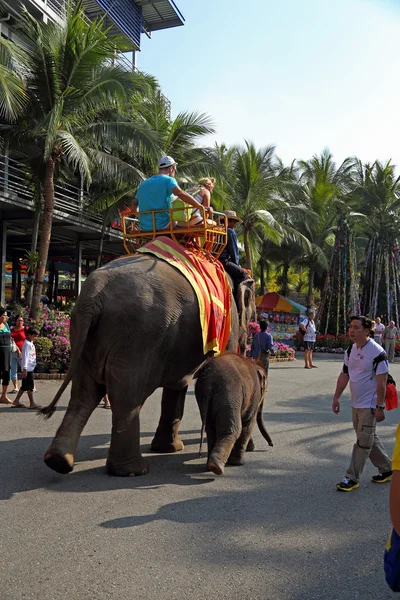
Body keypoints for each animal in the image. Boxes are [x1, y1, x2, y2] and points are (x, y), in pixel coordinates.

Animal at [43, 253, 256, 478]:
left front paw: (168, 449)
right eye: (252, 313)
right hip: (136, 339)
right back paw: (133, 471)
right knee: (127, 399)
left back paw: (58, 461)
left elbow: (176, 386)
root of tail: (94, 294)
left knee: (83, 395)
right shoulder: (228, 320)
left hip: (85, 339)